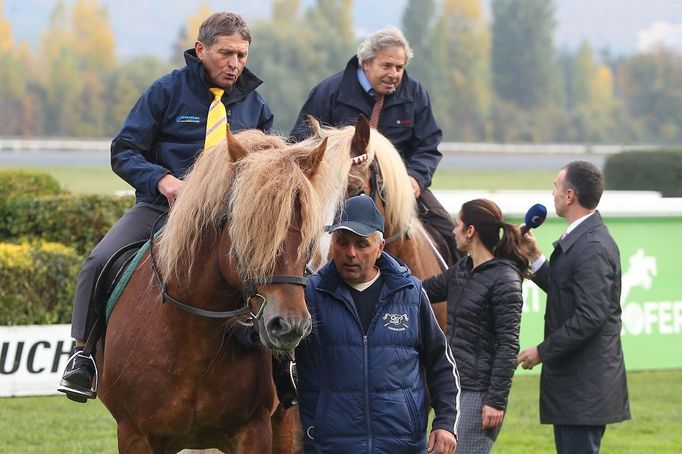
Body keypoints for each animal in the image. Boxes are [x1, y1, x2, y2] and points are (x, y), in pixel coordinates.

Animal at [97, 129, 346, 452]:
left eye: (308, 238)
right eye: (248, 229)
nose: (290, 325)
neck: (192, 337)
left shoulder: (253, 432)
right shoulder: (135, 435)